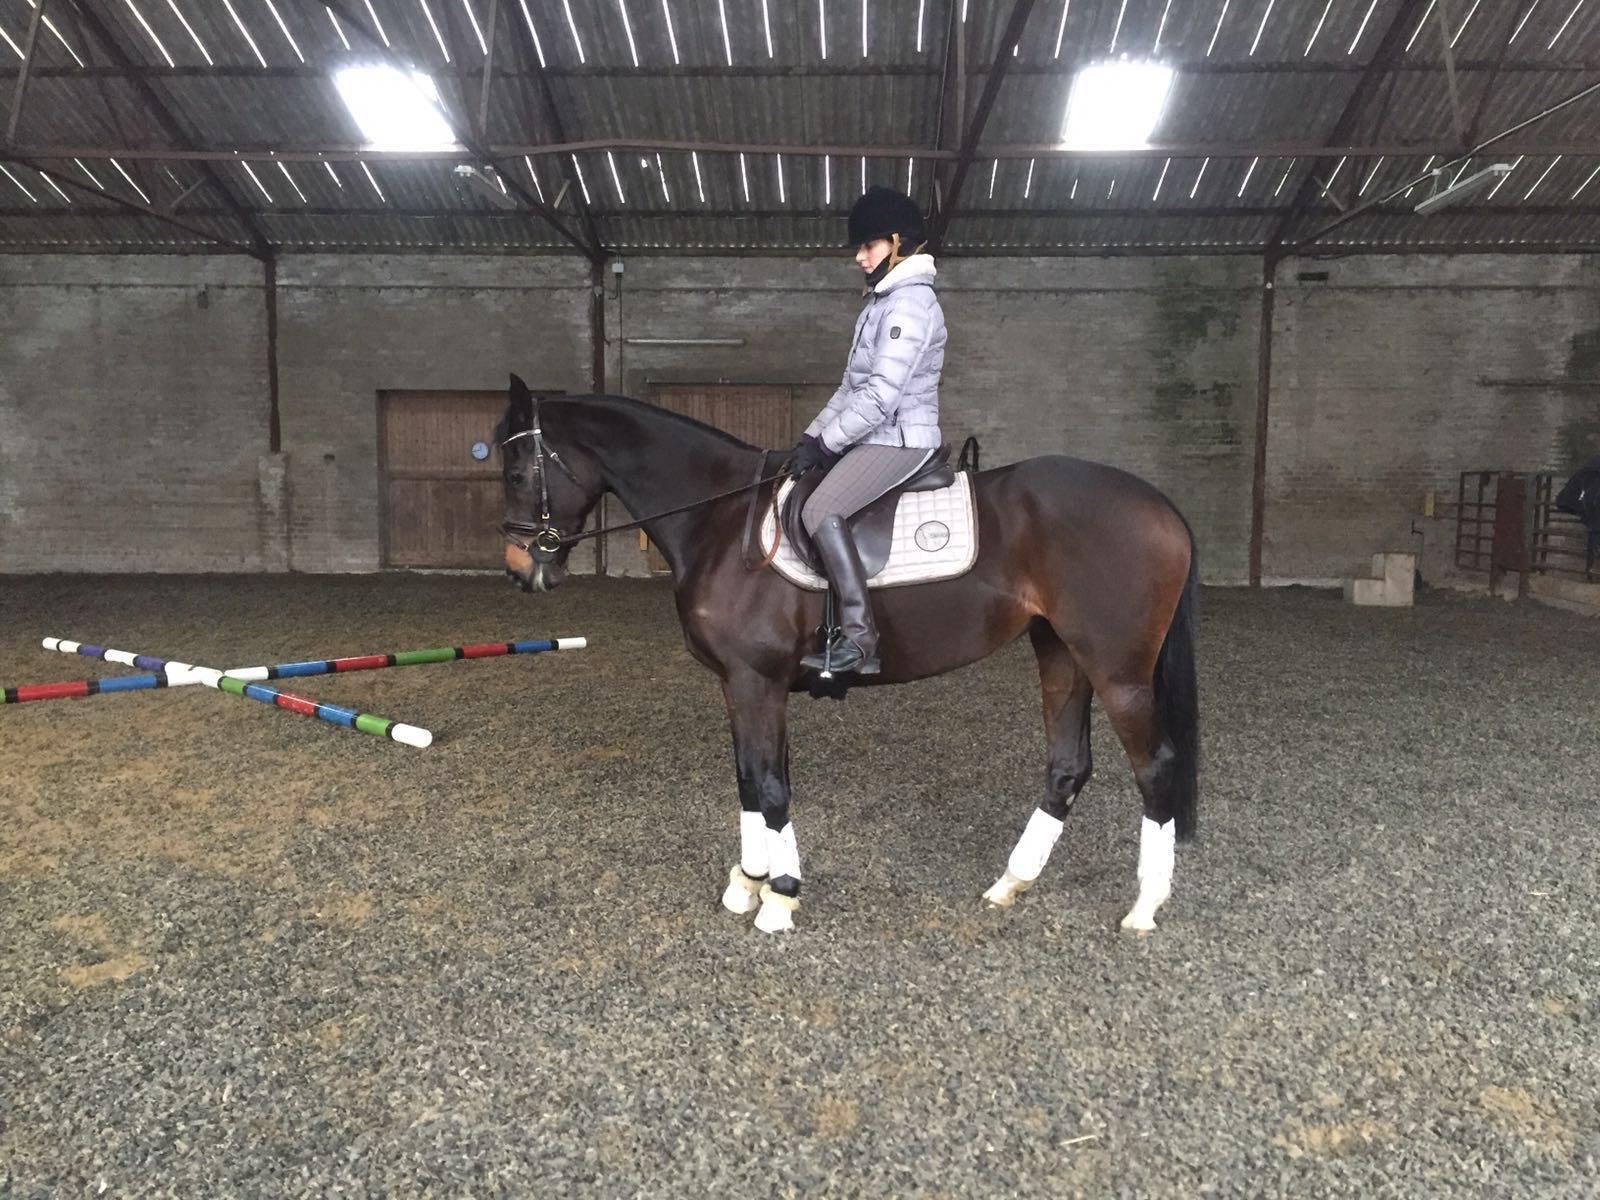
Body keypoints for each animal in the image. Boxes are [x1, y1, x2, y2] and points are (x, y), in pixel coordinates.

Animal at [495, 375, 1199, 935]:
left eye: (517, 472)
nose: (518, 570)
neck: (719, 522)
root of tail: (1158, 502)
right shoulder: (744, 685)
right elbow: (752, 780)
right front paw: (749, 881)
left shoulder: (754, 681)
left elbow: (770, 785)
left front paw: (779, 898)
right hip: (1060, 652)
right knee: (1067, 768)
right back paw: (1010, 883)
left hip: (1118, 671)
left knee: (1155, 766)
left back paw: (1144, 907)